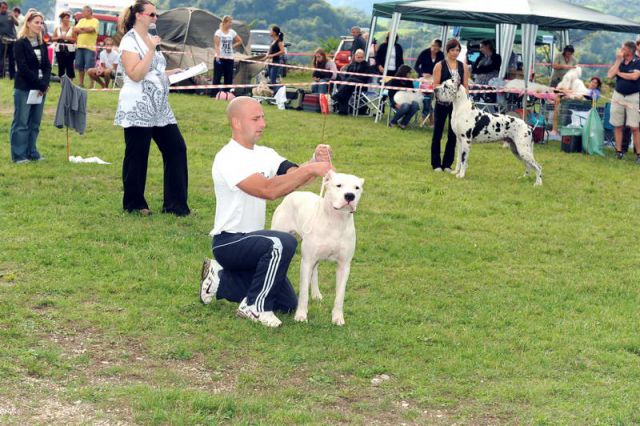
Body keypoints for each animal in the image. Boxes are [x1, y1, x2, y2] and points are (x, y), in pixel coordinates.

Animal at [272, 171, 364, 326]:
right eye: (338, 185)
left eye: (357, 188)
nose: (350, 196)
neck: (336, 221)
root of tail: (294, 193)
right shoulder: (306, 262)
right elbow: (303, 292)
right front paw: (301, 315)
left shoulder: (344, 265)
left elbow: (340, 295)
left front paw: (338, 318)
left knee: (315, 271)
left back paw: (316, 294)